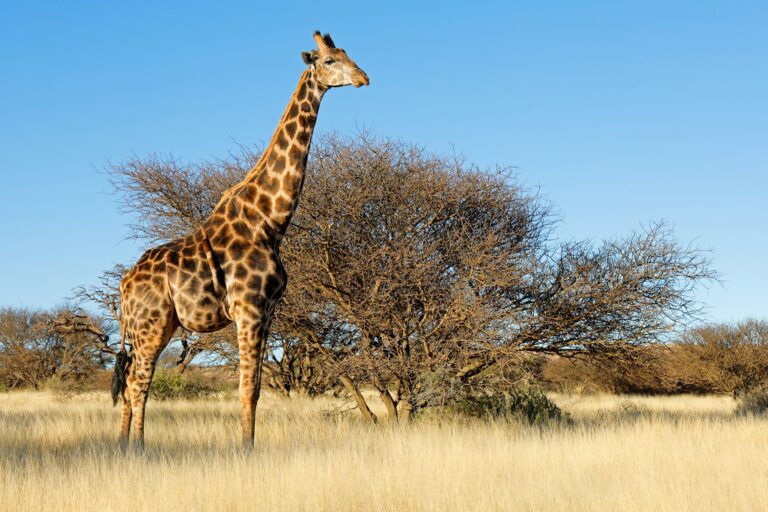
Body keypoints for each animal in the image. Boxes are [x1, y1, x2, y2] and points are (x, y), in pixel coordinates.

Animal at [110, 32, 368, 450]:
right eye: (329, 60)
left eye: (347, 54)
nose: (363, 77)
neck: (270, 222)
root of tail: (123, 284)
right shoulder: (249, 307)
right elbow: (247, 389)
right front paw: (246, 450)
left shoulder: (268, 311)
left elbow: (258, 388)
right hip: (151, 323)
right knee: (138, 382)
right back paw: (138, 448)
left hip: (157, 326)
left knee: (132, 380)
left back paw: (123, 446)